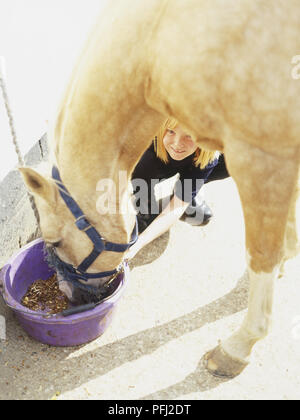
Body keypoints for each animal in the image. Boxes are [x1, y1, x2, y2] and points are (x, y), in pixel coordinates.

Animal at [18, 0, 300, 378]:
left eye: (56, 241)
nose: (69, 296)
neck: (158, 40)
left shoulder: (260, 157)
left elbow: (261, 255)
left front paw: (237, 348)